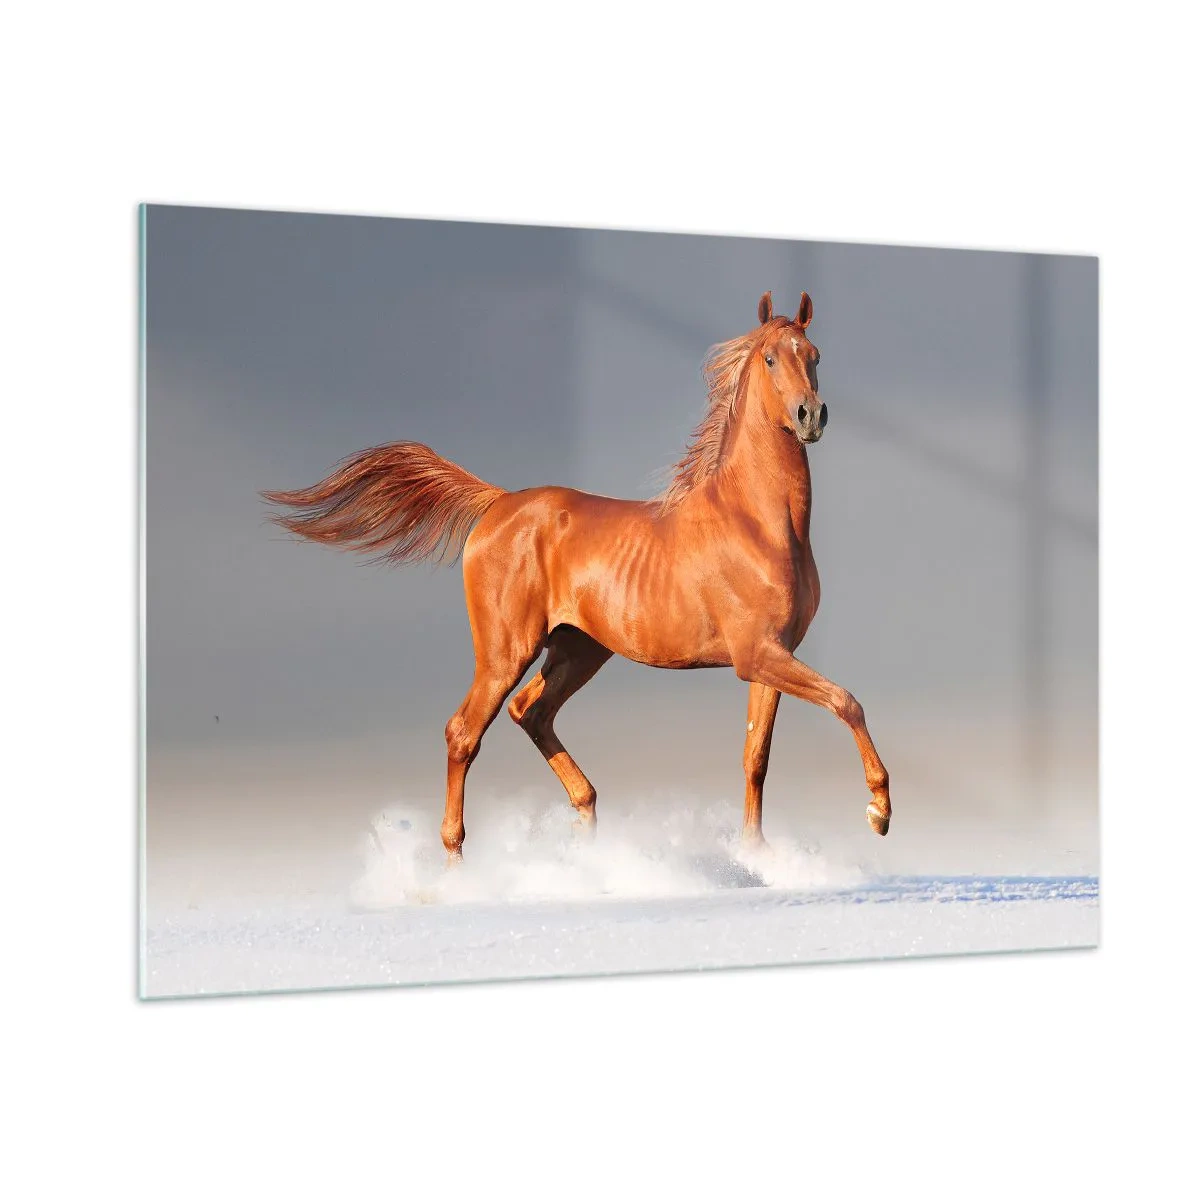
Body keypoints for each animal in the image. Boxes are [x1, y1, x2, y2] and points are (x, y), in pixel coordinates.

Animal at [262, 290, 892, 862]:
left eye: (815, 354)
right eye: (769, 359)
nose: (811, 415)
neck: (757, 523)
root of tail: (497, 504)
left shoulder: (773, 656)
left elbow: (756, 756)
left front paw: (756, 854)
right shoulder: (756, 654)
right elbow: (847, 702)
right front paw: (878, 811)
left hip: (578, 649)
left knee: (530, 712)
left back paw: (587, 828)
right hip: (507, 651)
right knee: (465, 732)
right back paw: (458, 864)